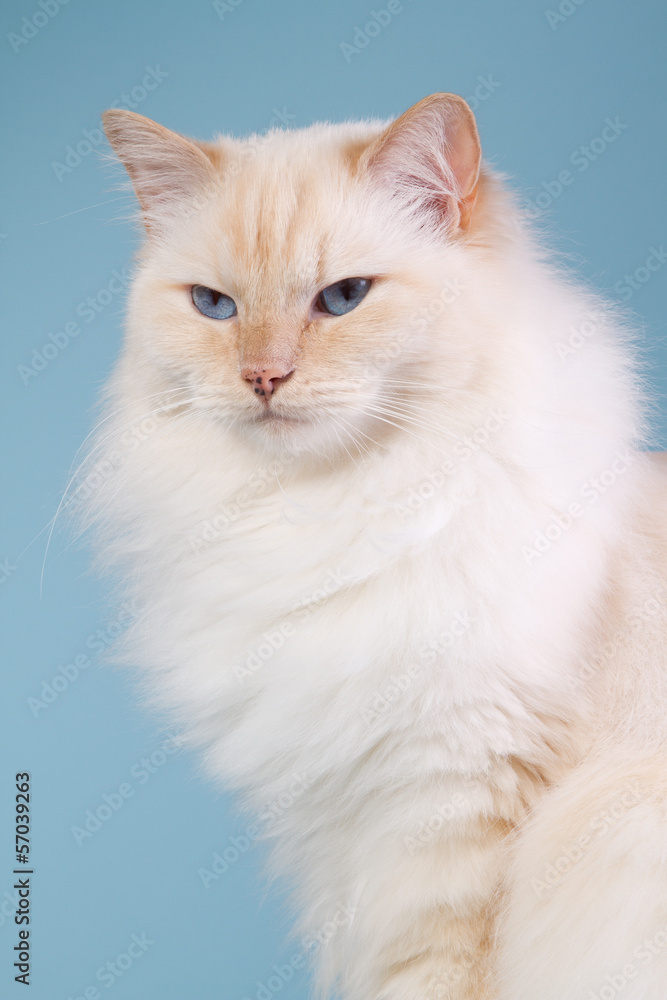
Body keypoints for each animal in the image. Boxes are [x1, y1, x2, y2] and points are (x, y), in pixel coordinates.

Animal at [77, 92, 667, 992]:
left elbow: (431, 976)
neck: (329, 516)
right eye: (214, 307)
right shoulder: (337, 836)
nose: (262, 378)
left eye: (344, 297)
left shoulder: (449, 808)